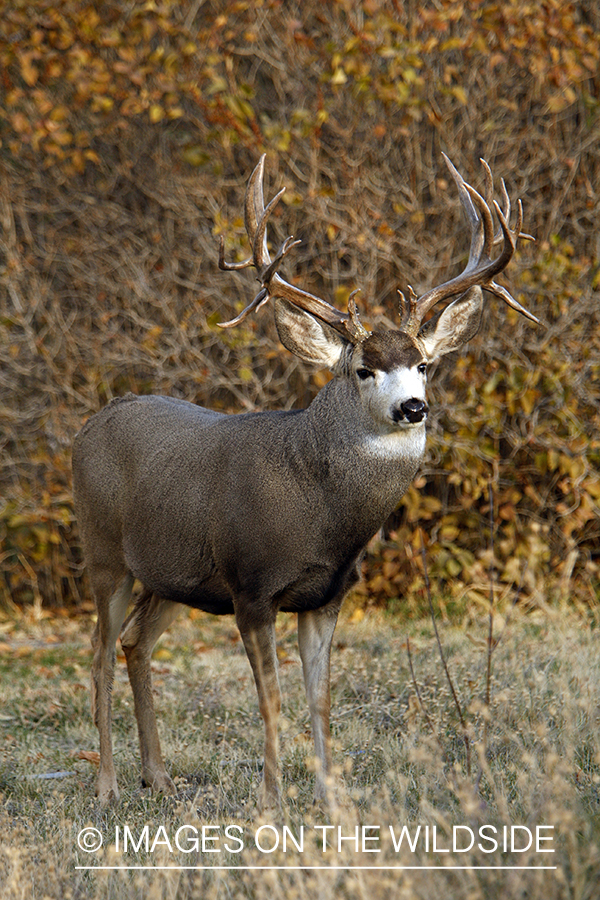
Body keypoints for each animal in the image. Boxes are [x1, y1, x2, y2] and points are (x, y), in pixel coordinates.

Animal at [72, 154, 537, 809]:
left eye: (423, 364)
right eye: (364, 369)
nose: (414, 407)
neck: (318, 511)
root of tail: (89, 425)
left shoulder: (327, 594)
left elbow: (320, 700)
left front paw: (331, 798)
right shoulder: (251, 584)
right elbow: (270, 699)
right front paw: (272, 799)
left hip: (172, 574)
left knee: (136, 644)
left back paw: (157, 778)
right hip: (103, 552)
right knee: (99, 655)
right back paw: (109, 787)